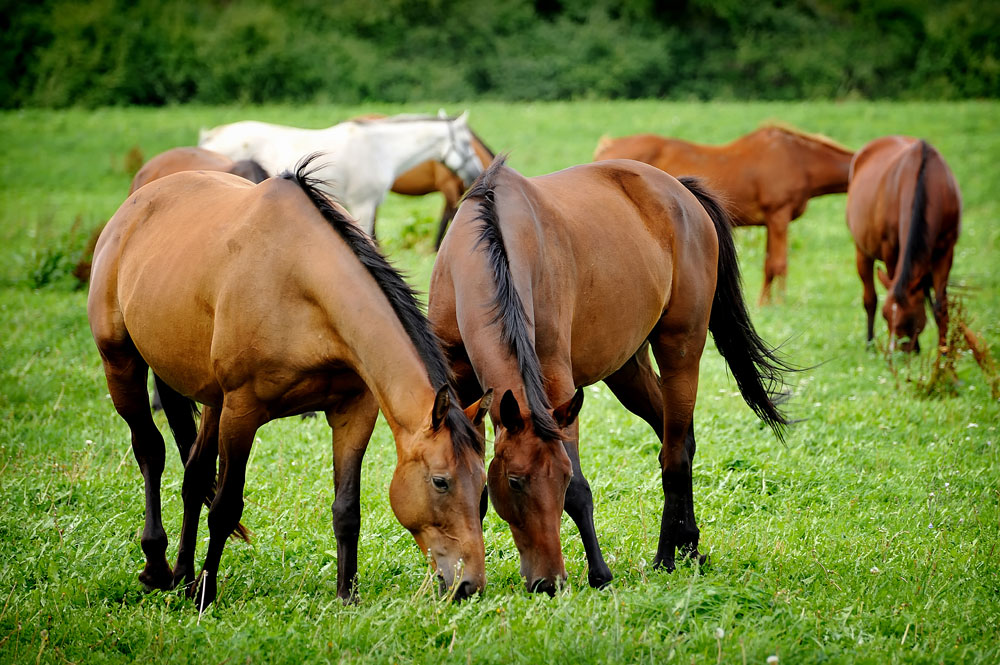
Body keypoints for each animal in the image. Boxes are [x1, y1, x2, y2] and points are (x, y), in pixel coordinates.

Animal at [89, 157, 492, 608]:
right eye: (441, 482)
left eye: (483, 487)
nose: (469, 584)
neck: (301, 282)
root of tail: (135, 205)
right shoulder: (242, 413)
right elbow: (226, 507)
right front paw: (207, 596)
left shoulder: (353, 412)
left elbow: (346, 509)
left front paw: (347, 596)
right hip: (121, 364)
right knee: (150, 452)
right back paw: (158, 567)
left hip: (212, 400)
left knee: (194, 475)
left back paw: (183, 574)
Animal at [426, 156, 792, 592]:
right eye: (515, 481)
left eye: (562, 478)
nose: (548, 582)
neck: (486, 248)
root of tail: (680, 191)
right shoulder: (465, 390)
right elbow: (473, 489)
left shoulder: (556, 384)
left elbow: (581, 490)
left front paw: (598, 573)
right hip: (627, 370)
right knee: (679, 440)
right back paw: (689, 545)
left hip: (681, 350)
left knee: (674, 455)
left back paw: (666, 557)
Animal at [592, 124, 852, 304]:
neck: (799, 159)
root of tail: (609, 146)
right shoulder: (779, 215)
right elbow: (779, 264)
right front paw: (778, 303)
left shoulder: (770, 221)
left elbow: (769, 264)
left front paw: (764, 303)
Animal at [844, 136, 960, 352]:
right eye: (886, 315)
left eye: (909, 319)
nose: (893, 355)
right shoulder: (891, 250)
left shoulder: (946, 250)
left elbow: (940, 307)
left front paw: (944, 354)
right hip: (862, 251)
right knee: (870, 298)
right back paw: (870, 345)